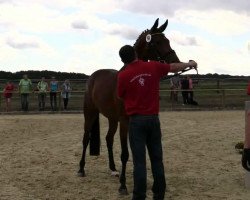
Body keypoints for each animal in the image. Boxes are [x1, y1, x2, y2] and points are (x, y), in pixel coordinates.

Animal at [77, 18, 181, 194]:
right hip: (90, 114)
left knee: (108, 139)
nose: (175, 62)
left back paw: (113, 169)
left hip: (112, 119)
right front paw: (123, 185)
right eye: (157, 42)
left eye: (167, 40)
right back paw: (81, 169)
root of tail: (92, 77)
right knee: (86, 139)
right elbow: (125, 153)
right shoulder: (125, 122)